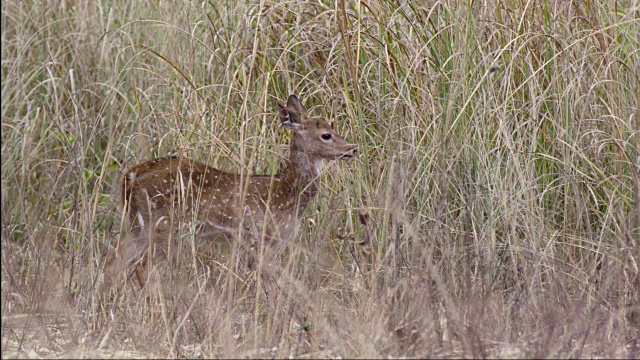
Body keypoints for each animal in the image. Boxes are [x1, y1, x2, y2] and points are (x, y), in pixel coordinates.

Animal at [102, 94, 358, 296]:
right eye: (326, 135)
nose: (352, 149)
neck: (290, 192)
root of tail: (130, 178)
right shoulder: (267, 237)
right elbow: (266, 280)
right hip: (167, 226)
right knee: (141, 266)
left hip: (139, 226)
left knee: (112, 260)